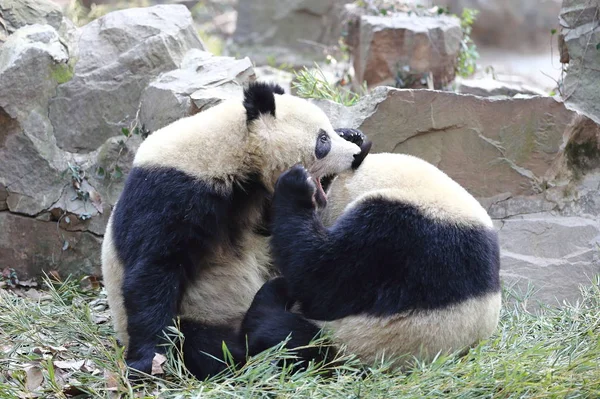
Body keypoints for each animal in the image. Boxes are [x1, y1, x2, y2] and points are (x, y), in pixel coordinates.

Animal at [99, 82, 370, 382]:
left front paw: (354, 135)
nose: (355, 155)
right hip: (201, 314)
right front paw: (150, 360)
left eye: (329, 132)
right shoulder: (169, 192)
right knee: (210, 346)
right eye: (322, 140)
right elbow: (153, 269)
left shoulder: (254, 200)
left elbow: (277, 232)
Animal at [243, 152, 502, 370]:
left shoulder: (396, 233)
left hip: (349, 343)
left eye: (325, 189)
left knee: (284, 337)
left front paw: (296, 183)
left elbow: (322, 279)